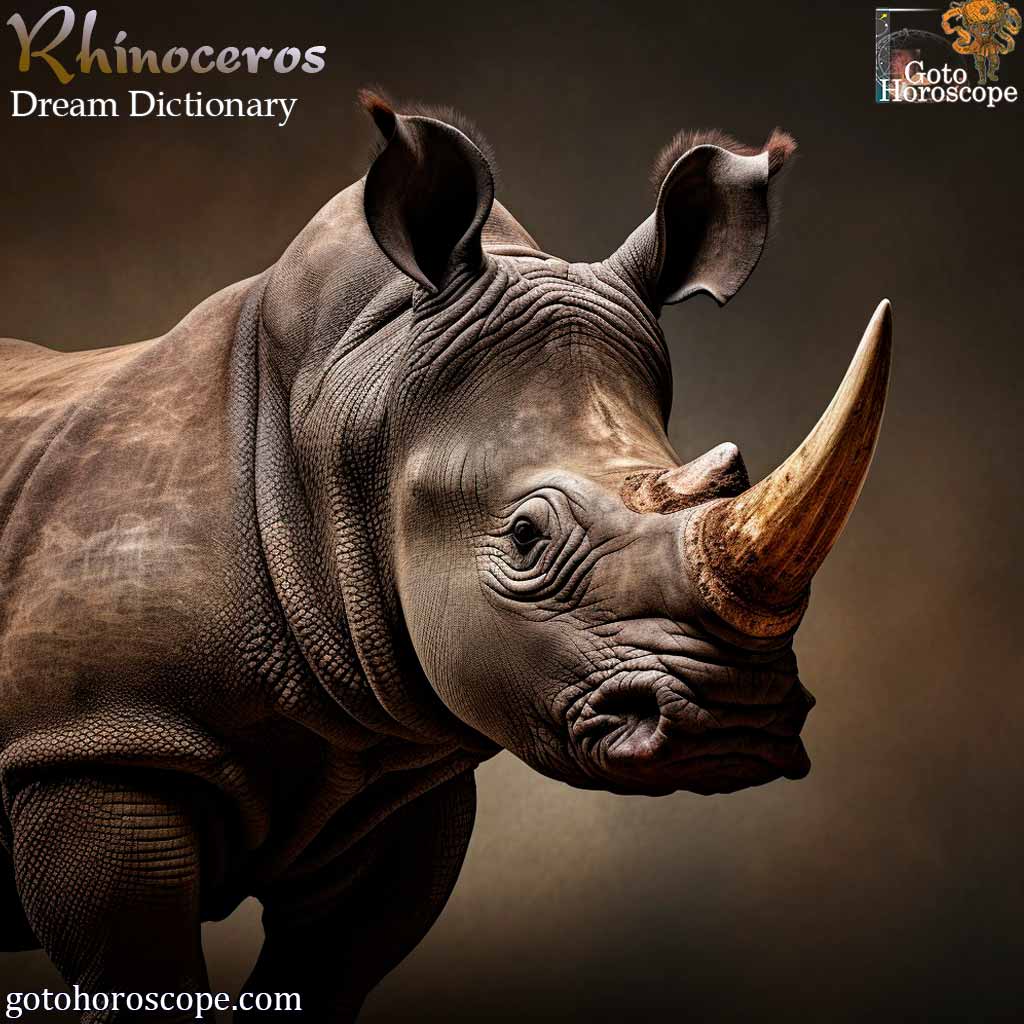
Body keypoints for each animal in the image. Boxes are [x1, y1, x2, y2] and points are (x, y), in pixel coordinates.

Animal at [0, 91, 891, 1021]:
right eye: (526, 537)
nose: (738, 720)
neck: (350, 402)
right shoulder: (99, 742)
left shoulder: (401, 773)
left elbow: (332, 966)